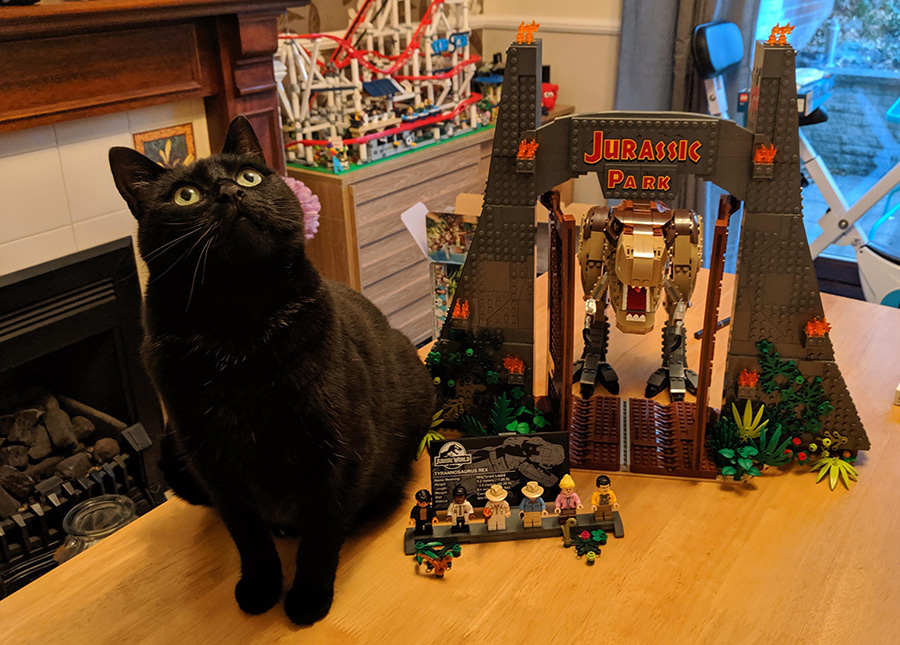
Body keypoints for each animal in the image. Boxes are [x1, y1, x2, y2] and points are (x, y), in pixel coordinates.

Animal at [108, 116, 434, 625]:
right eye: (185, 195)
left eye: (249, 177)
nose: (229, 193)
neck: (239, 334)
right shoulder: (215, 466)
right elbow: (248, 536)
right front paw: (261, 588)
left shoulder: (339, 452)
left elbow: (322, 535)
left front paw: (308, 598)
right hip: (171, 453)